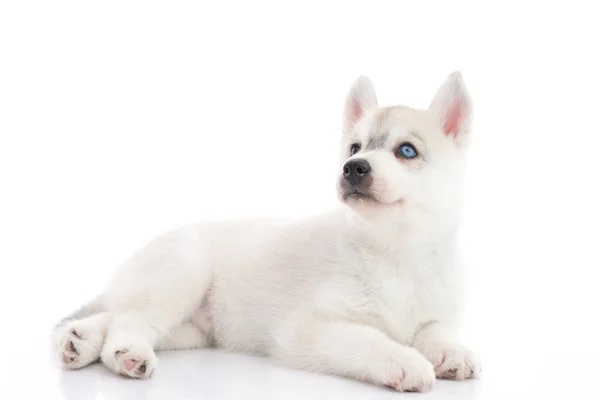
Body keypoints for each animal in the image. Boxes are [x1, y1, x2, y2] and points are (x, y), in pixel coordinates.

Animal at [54, 71, 480, 390]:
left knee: (117, 316)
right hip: (182, 272)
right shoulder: (307, 329)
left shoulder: (437, 311)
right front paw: (404, 359)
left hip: (191, 327)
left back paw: (80, 341)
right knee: (130, 321)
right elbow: (369, 338)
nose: (353, 168)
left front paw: (450, 351)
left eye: (406, 151)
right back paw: (128, 352)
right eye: (354, 148)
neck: (397, 253)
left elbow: (436, 330)